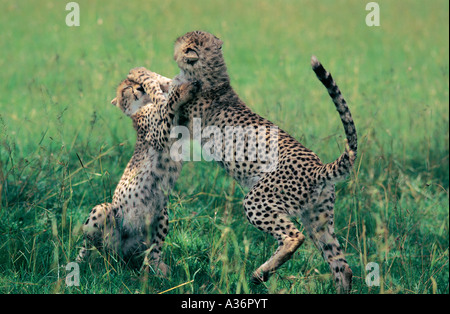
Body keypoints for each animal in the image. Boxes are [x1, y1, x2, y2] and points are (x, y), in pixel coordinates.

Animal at [76, 72, 200, 272]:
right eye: (127, 87)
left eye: (137, 84)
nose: (140, 88)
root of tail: (123, 256)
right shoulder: (161, 134)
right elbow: (169, 106)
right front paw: (183, 90)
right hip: (104, 214)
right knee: (89, 245)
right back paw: (78, 264)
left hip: (161, 213)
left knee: (154, 250)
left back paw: (156, 268)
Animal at [127, 30, 358, 294]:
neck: (213, 74)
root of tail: (319, 167)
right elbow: (164, 82)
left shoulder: (173, 117)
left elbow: (160, 90)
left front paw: (140, 74)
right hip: (318, 218)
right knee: (342, 264)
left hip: (258, 200)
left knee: (293, 237)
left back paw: (259, 274)